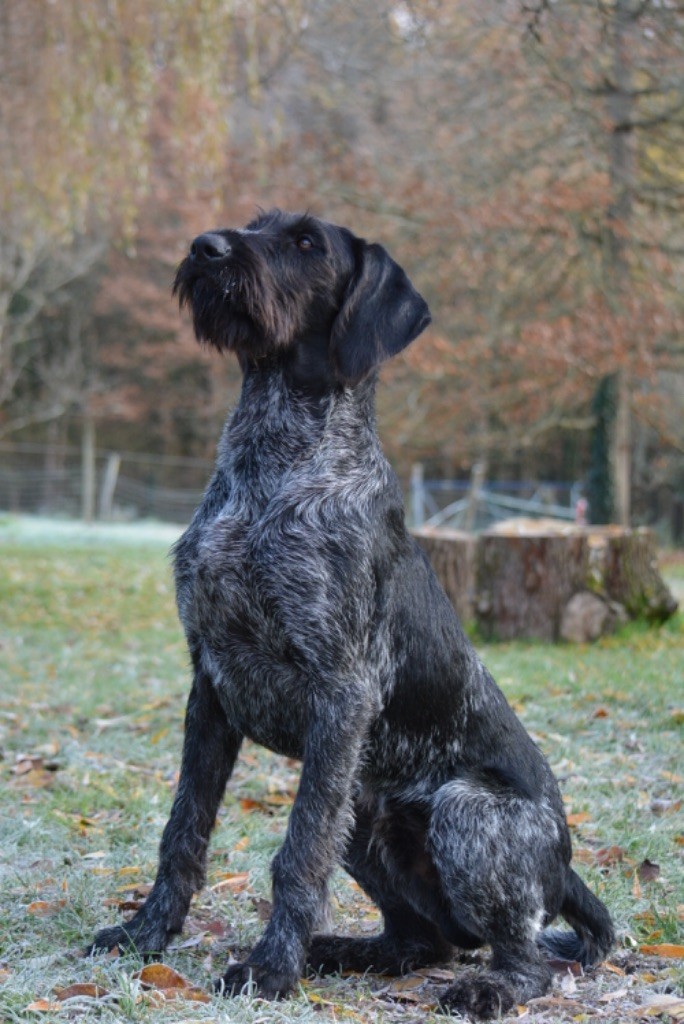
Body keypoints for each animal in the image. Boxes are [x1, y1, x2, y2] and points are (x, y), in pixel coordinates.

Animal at [88, 207, 610, 1015]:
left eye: (306, 243)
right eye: (254, 223)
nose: (207, 247)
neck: (271, 465)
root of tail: (566, 863)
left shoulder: (340, 692)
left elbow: (297, 855)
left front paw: (270, 971)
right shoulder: (209, 685)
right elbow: (183, 832)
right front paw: (146, 935)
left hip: (464, 811)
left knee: (529, 960)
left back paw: (484, 988)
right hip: (365, 809)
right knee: (423, 940)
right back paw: (341, 951)